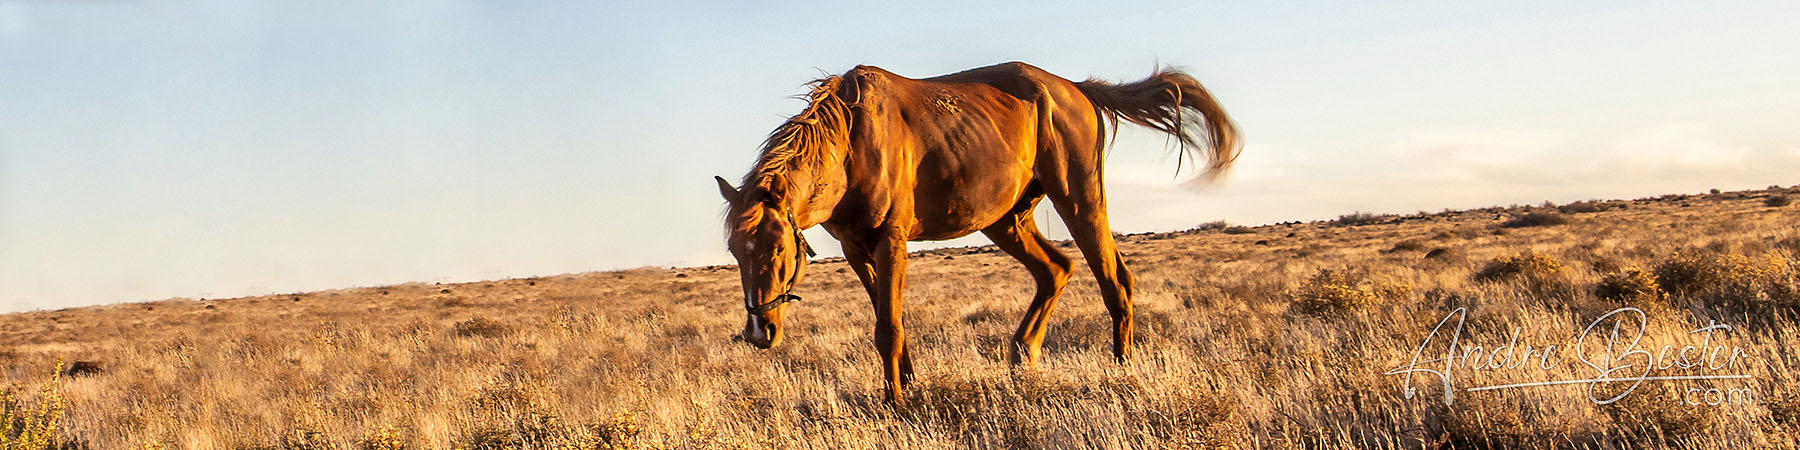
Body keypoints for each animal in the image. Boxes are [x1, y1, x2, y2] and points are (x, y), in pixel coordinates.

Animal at [714, 61, 1239, 404]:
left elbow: (888, 328)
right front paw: (907, 385)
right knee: (1056, 270)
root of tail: (1076, 89)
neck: (851, 142)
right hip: (1006, 219)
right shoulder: (856, 248)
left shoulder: (890, 241)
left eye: (778, 248)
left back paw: (1122, 370)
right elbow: (889, 322)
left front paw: (897, 403)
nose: (759, 332)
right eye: (736, 252)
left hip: (1081, 201)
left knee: (1114, 281)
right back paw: (1022, 357)